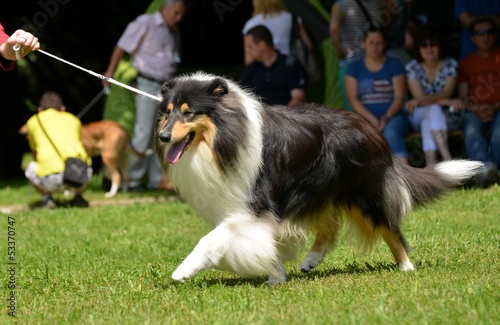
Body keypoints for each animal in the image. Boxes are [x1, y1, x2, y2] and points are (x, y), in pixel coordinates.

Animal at [155, 71, 480, 284]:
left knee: (390, 229)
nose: (163, 137)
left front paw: (183, 270)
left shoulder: (254, 207)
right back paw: (310, 262)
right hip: (320, 192)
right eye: (168, 112)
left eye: (189, 113)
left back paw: (406, 267)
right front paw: (277, 277)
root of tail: (373, 130)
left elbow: (211, 239)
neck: (225, 137)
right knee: (329, 229)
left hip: (364, 195)